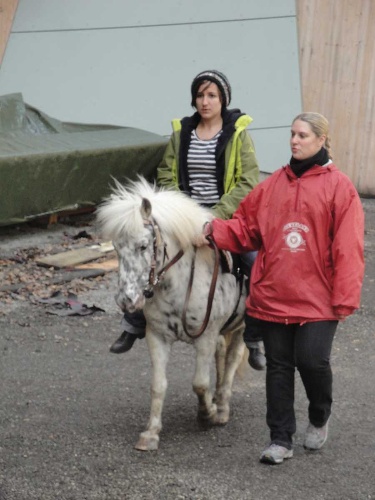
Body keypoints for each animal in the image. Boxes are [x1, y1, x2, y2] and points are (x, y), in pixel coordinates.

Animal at [97, 178, 247, 452]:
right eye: (116, 247)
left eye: (143, 246)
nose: (126, 300)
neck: (180, 283)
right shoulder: (157, 336)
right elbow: (158, 385)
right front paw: (151, 433)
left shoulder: (205, 336)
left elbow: (199, 383)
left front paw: (206, 414)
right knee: (222, 353)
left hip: (242, 326)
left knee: (233, 358)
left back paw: (221, 408)